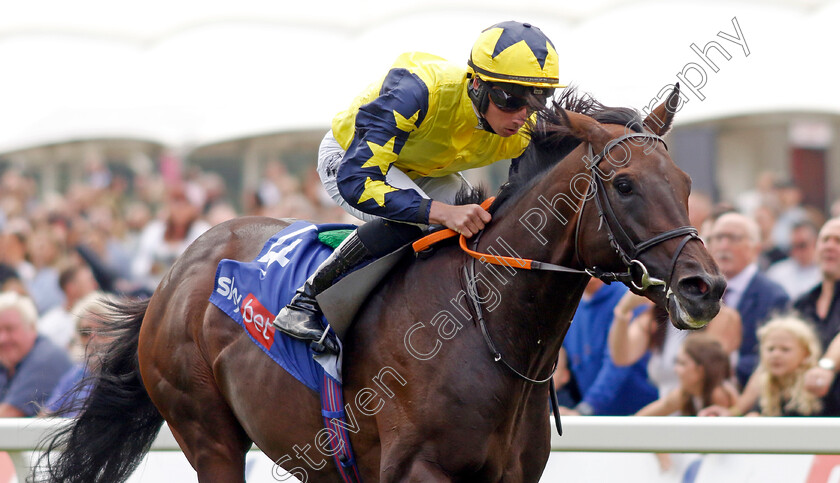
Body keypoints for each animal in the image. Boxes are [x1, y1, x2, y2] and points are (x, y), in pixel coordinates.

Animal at [37, 85, 720, 482]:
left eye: (686, 183)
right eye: (625, 184)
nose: (704, 286)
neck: (487, 329)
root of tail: (177, 271)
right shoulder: (418, 472)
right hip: (207, 434)